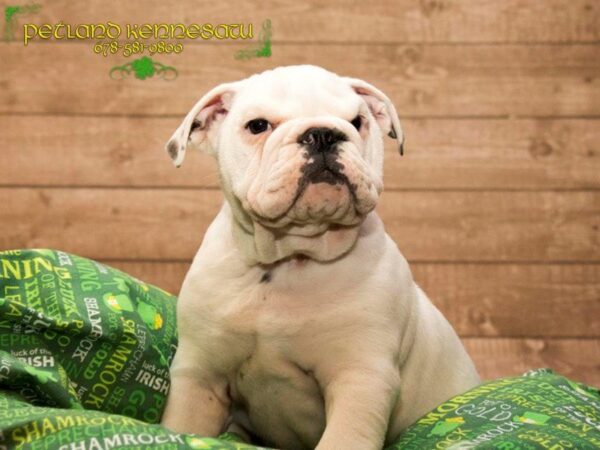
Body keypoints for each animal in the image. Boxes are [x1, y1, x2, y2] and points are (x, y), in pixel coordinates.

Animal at [159, 64, 478, 450]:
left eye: (357, 121)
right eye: (258, 126)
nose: (323, 134)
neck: (290, 258)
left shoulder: (361, 377)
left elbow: (344, 438)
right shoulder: (200, 375)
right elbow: (182, 425)